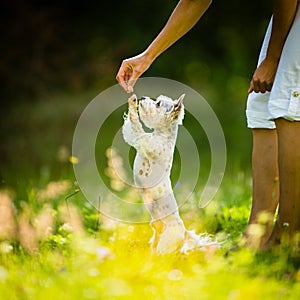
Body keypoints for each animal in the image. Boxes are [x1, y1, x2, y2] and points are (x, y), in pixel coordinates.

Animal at [122, 93, 216, 253]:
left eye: (158, 103)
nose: (142, 97)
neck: (161, 136)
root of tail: (184, 232)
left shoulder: (146, 143)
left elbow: (137, 128)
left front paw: (133, 105)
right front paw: (132, 102)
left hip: (167, 239)